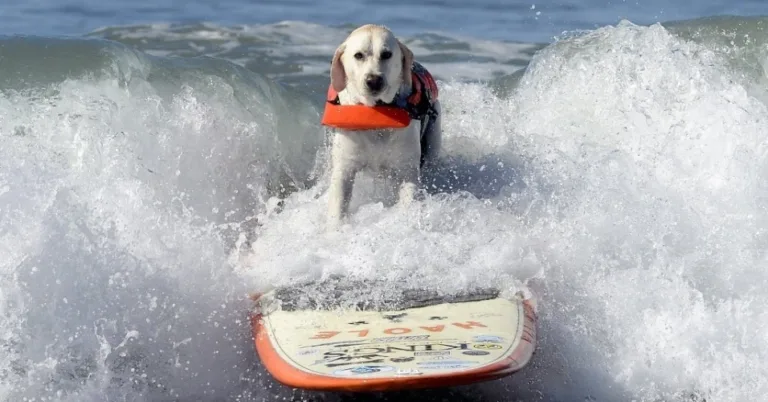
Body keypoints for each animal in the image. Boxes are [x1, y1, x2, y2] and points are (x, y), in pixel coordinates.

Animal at [326, 23, 444, 228]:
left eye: (387, 54)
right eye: (358, 55)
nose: (374, 81)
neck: (377, 112)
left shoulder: (407, 168)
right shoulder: (344, 167)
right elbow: (338, 203)